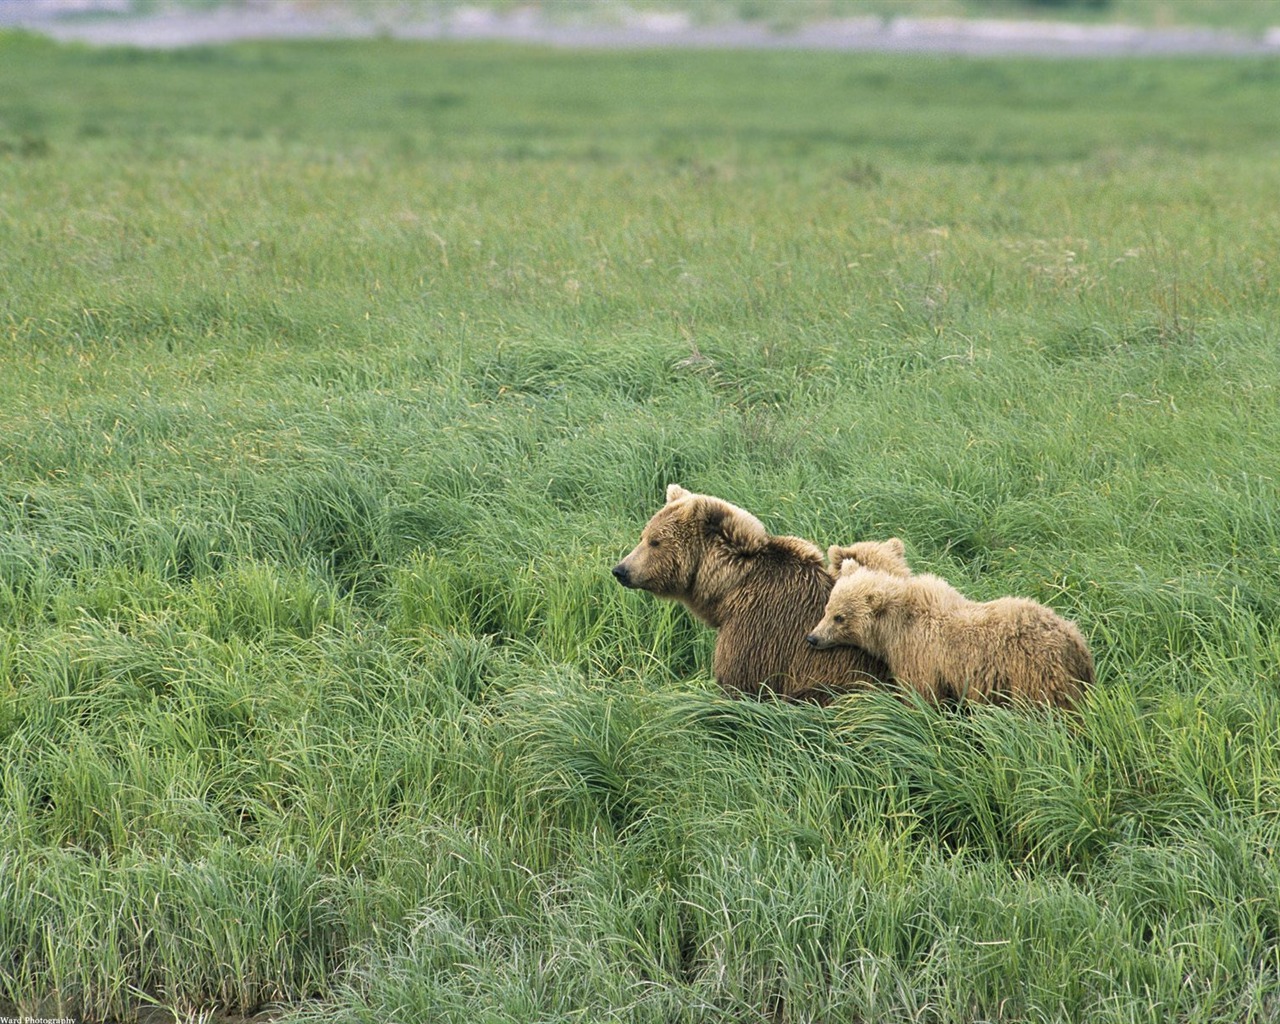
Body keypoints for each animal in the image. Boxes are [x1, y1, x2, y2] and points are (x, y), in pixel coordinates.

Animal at [614, 483, 885, 701]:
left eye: (655, 541)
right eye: (643, 536)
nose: (621, 570)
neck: (728, 589)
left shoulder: (757, 628)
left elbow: (741, 680)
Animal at [808, 560, 1090, 711]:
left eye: (839, 617)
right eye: (827, 609)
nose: (813, 638)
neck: (892, 630)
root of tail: (1074, 640)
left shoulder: (920, 656)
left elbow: (921, 694)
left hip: (1035, 677)